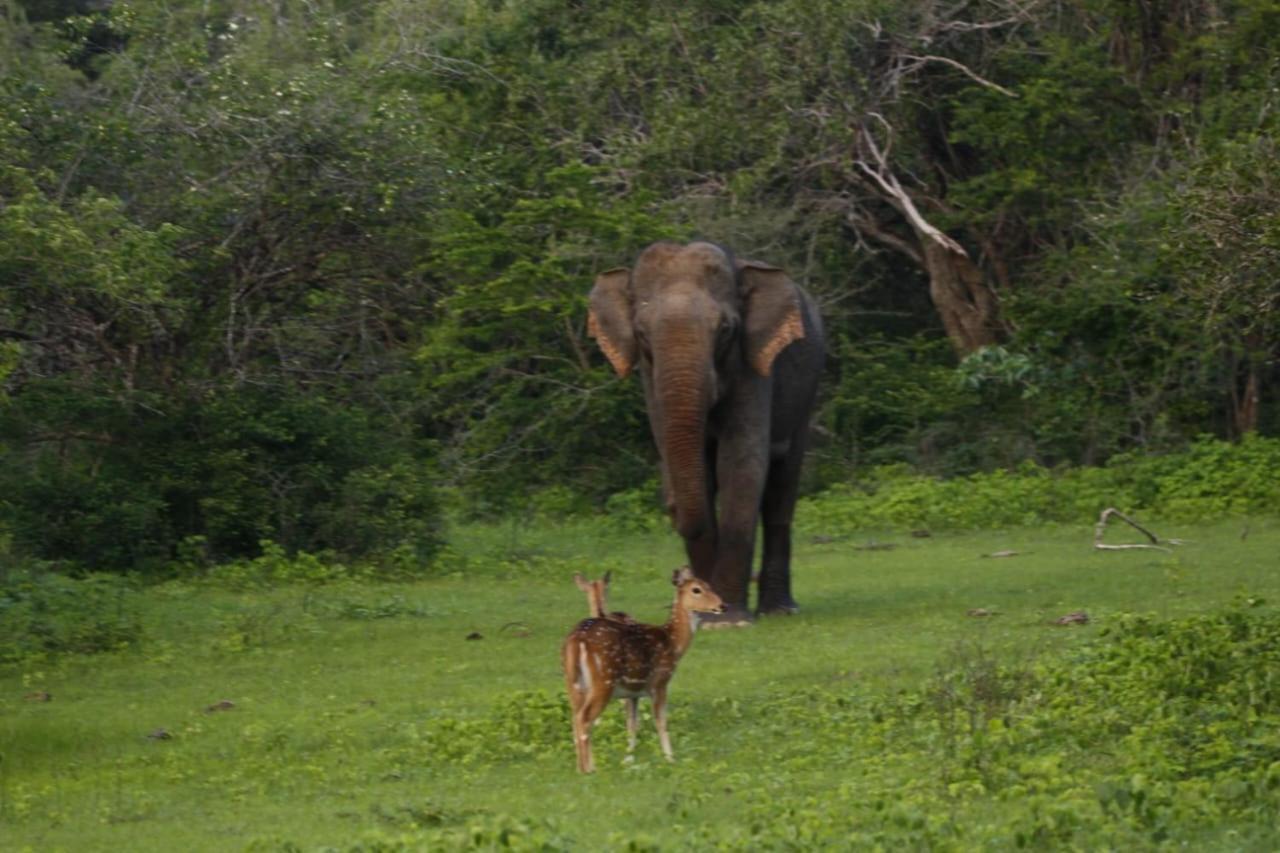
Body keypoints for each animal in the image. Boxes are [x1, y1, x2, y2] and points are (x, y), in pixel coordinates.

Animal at [563, 563, 727, 768]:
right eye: (696, 589)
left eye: (709, 585)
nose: (722, 606)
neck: (673, 643)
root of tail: (577, 639)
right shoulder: (660, 682)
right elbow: (661, 721)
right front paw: (670, 758)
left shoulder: (633, 692)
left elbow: (632, 723)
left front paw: (629, 757)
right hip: (603, 680)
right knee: (584, 719)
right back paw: (590, 769)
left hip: (573, 682)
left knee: (575, 718)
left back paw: (581, 767)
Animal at [586, 240, 819, 625]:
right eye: (641, 333)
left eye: (725, 329)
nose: (670, 504)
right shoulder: (650, 379)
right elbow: (699, 469)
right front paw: (708, 616)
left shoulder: (752, 366)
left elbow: (740, 465)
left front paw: (730, 621)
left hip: (807, 394)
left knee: (781, 490)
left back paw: (779, 610)